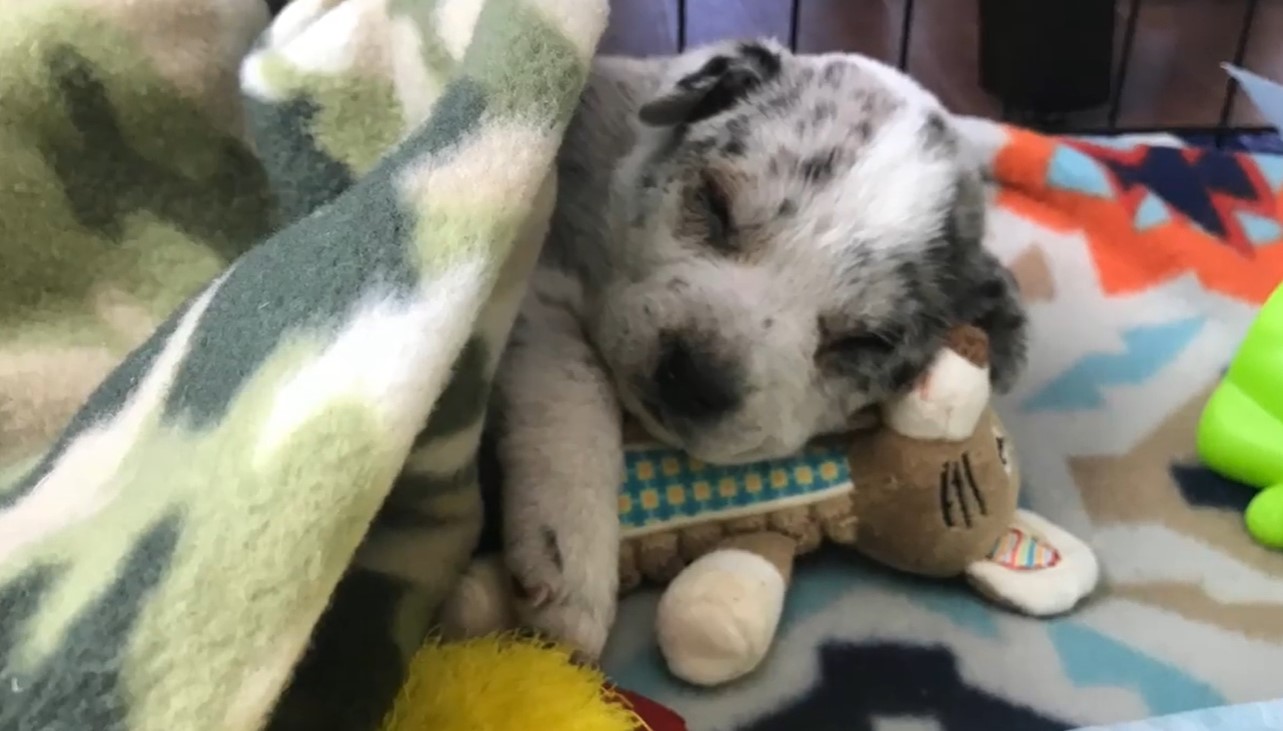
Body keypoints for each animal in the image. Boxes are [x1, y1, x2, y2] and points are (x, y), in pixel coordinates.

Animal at [495, 39, 1026, 661]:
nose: (695, 378)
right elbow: (575, 384)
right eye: (715, 203)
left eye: (865, 341)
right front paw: (573, 562)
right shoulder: (537, 279)